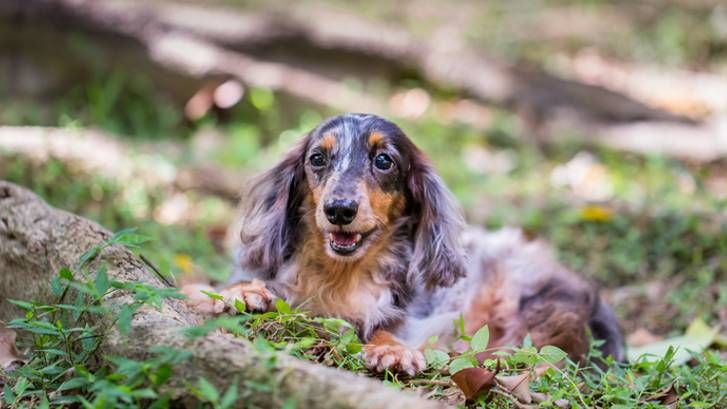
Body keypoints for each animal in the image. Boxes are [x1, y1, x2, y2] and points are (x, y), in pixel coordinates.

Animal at [182, 113, 624, 374]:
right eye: (317, 159)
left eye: (384, 160)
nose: (339, 209)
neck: (340, 275)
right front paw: (239, 292)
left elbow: (388, 328)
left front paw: (392, 350)